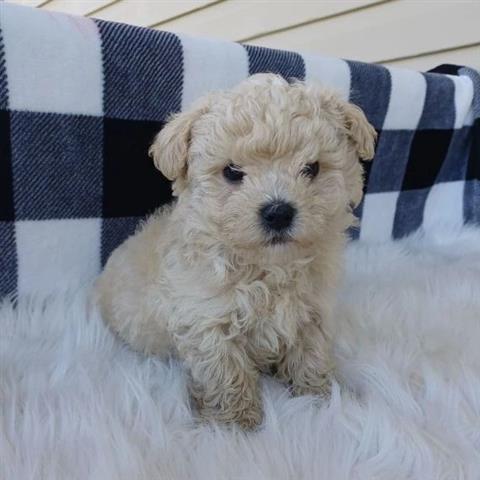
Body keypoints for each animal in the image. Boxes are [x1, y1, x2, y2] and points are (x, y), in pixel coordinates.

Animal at [95, 73, 376, 430]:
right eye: (232, 171)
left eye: (311, 168)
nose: (278, 212)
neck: (268, 268)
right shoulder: (207, 319)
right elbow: (226, 372)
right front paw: (232, 426)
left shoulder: (312, 312)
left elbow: (310, 355)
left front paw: (322, 397)